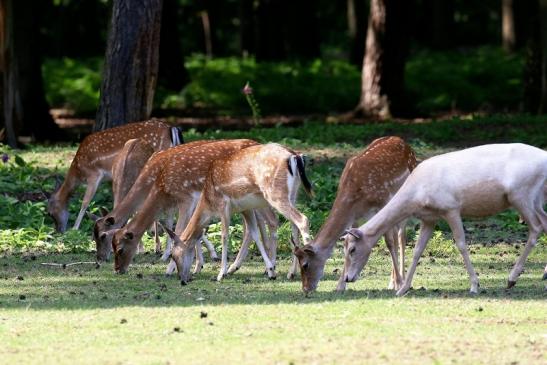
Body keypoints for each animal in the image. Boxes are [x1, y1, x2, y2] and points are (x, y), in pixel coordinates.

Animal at [47, 120, 184, 233]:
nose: (59, 230)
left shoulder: (94, 174)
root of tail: (171, 128)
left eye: (50, 213)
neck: (78, 171)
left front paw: (75, 228)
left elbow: (85, 202)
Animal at [167, 142, 314, 284]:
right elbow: (254, 233)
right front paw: (271, 271)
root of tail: (295, 156)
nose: (183, 280)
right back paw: (291, 273)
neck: (209, 200)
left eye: (174, 255)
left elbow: (224, 236)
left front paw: (221, 274)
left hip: (275, 193)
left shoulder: (224, 205)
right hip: (293, 194)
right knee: (292, 225)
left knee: (302, 220)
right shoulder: (246, 208)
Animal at [296, 136, 420, 292]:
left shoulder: (383, 204)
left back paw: (400, 280)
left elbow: (389, 243)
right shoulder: (355, 217)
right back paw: (392, 281)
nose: (305, 288)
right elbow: (347, 239)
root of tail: (404, 142)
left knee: (401, 237)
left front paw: (398, 283)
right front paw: (340, 286)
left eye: (305, 265)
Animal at [342, 143, 547, 296]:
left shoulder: (451, 208)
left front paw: (474, 285)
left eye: (352, 249)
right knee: (544, 222)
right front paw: (402, 289)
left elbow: (461, 244)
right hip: (535, 198)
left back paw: (511, 279)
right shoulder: (429, 218)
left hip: (521, 194)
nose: (347, 278)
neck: (417, 194)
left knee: (536, 227)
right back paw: (542, 276)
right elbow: (417, 250)